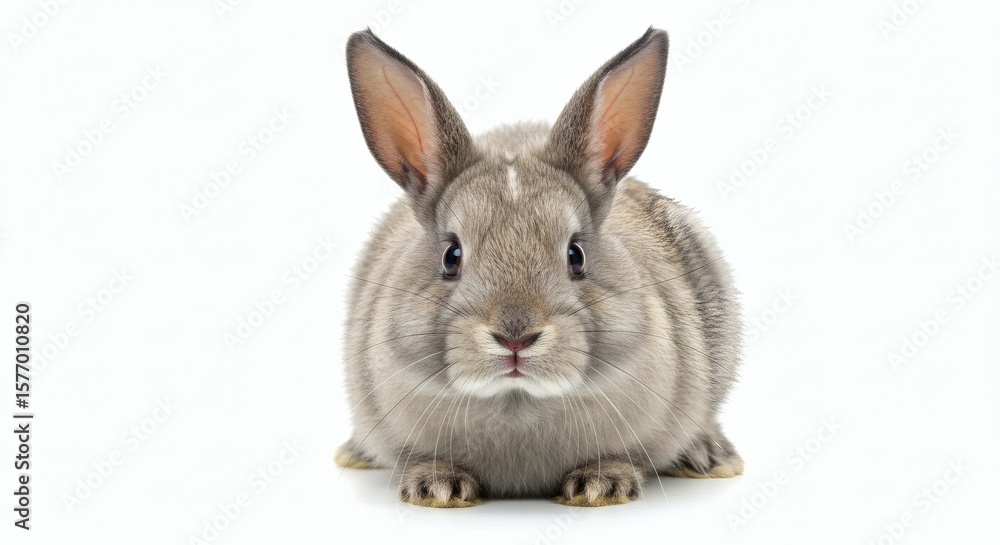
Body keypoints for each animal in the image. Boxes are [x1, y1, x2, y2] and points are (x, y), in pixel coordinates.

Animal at [335, 27, 744, 508]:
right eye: (451, 256)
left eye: (576, 255)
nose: (516, 336)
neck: (517, 400)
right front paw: (437, 487)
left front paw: (601, 486)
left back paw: (709, 457)